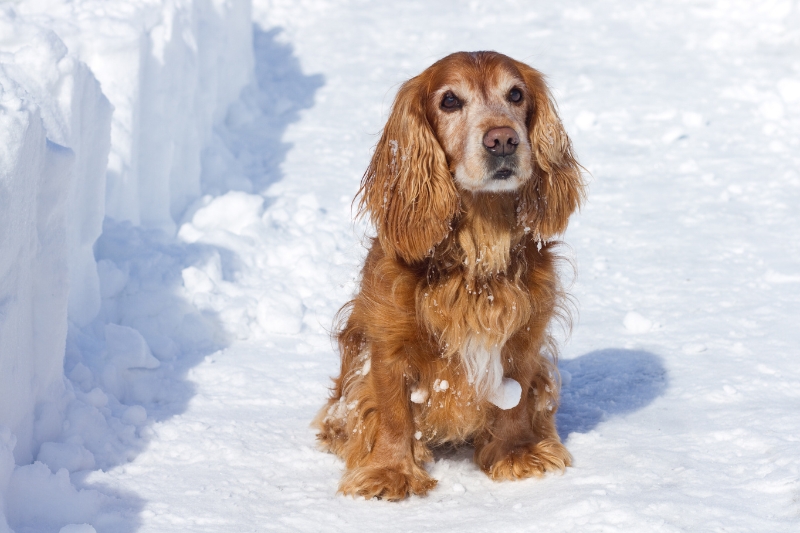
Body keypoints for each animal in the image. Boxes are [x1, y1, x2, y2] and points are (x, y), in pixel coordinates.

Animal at [316, 50, 584, 498]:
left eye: (515, 94)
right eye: (450, 101)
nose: (502, 139)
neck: (479, 244)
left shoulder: (525, 330)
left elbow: (516, 397)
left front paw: (515, 455)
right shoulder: (388, 338)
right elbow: (391, 410)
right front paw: (390, 471)